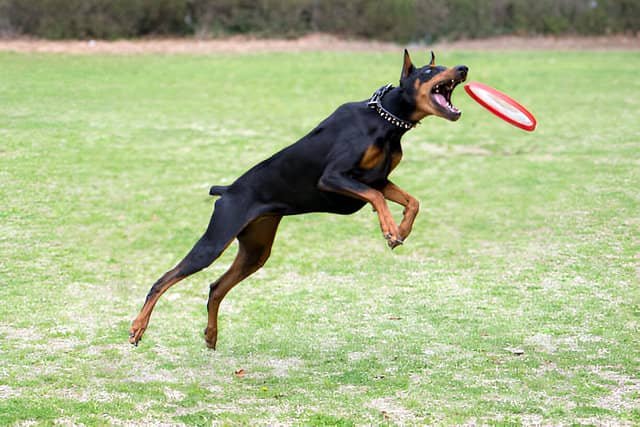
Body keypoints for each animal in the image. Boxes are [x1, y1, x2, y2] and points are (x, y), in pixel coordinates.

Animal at [131, 51, 470, 352]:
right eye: (430, 71)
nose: (463, 68)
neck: (384, 117)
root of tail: (227, 191)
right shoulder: (334, 177)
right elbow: (377, 198)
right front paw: (390, 230)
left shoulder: (376, 179)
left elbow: (412, 201)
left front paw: (401, 230)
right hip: (215, 241)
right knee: (162, 281)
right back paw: (138, 328)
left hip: (256, 251)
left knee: (216, 288)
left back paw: (211, 336)